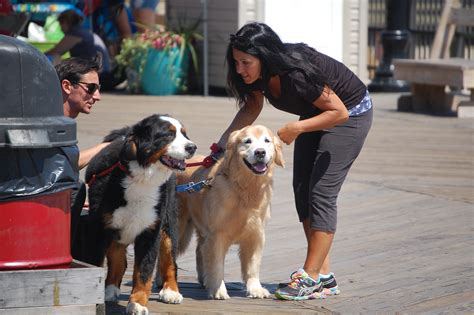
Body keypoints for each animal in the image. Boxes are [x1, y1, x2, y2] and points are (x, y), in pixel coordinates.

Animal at [84, 115, 196, 314]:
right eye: (168, 135)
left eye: (184, 134)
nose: (192, 147)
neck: (142, 179)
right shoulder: (99, 229)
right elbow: (96, 265)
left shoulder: (150, 232)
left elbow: (144, 272)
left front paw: (137, 303)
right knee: (119, 260)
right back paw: (110, 289)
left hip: (168, 226)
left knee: (170, 261)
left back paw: (171, 291)